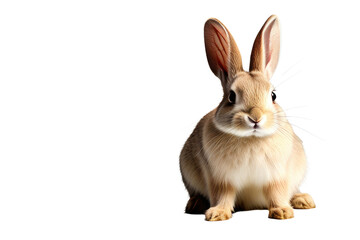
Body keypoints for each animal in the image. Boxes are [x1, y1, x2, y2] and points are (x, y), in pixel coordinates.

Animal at [180, 15, 316, 221]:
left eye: (273, 95)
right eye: (231, 96)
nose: (255, 117)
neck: (251, 139)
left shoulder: (276, 177)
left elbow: (277, 193)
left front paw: (282, 212)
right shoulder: (221, 179)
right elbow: (223, 195)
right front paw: (217, 214)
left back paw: (304, 200)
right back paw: (195, 204)